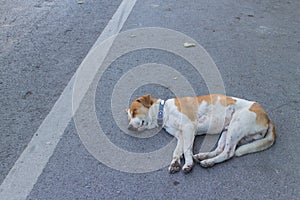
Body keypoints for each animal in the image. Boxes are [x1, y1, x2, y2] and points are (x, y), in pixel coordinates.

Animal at [125, 94, 276, 173]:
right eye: (128, 117)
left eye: (134, 111)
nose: (129, 127)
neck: (164, 111)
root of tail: (267, 116)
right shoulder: (181, 135)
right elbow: (177, 151)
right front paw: (175, 163)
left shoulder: (188, 128)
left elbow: (187, 150)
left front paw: (188, 164)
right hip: (227, 131)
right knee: (221, 149)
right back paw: (204, 157)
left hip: (236, 126)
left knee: (228, 153)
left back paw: (208, 162)